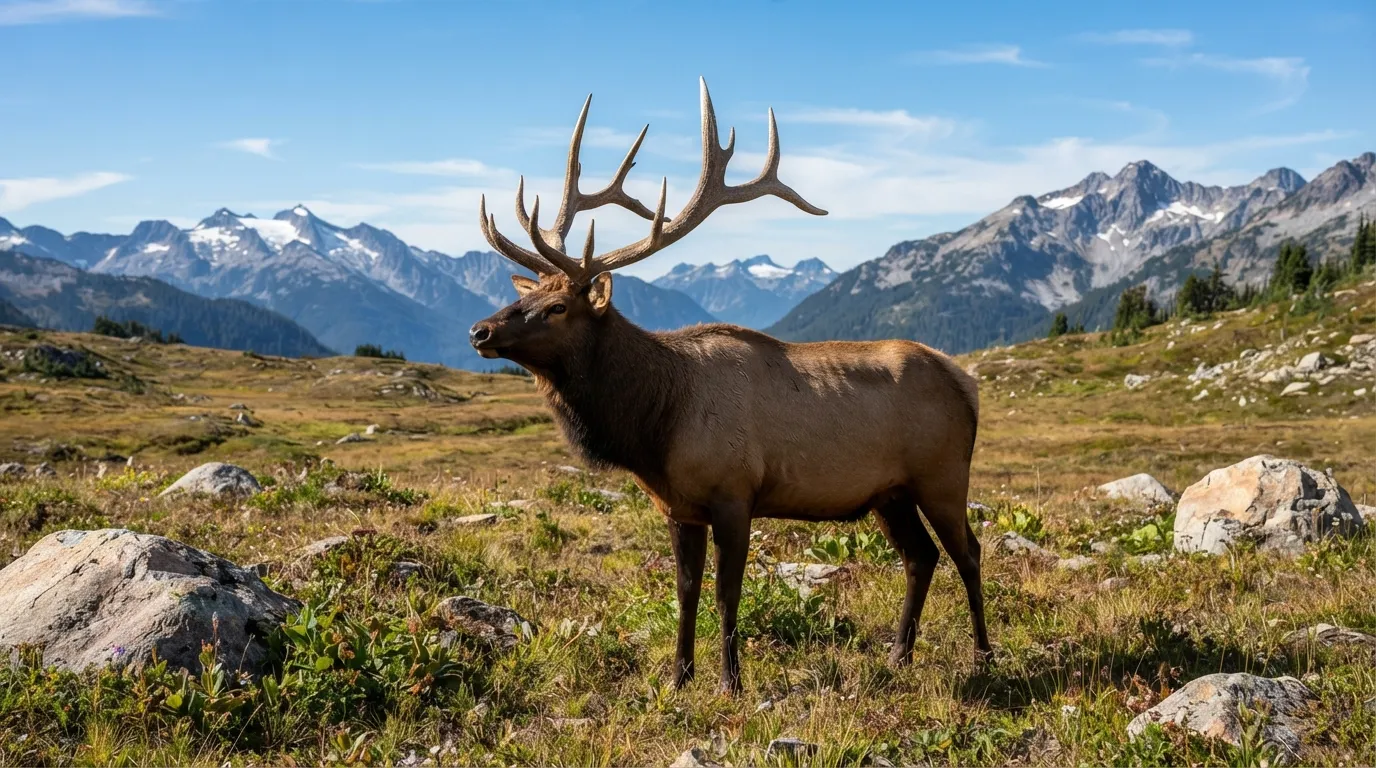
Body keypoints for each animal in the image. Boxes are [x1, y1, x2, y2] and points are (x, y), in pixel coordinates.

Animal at [468, 78, 989, 694]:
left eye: (557, 307)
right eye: (525, 297)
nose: (480, 330)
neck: (654, 426)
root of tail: (967, 384)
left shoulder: (735, 494)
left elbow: (726, 594)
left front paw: (730, 682)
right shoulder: (679, 507)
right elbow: (685, 593)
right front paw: (677, 678)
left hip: (942, 475)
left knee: (968, 552)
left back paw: (984, 657)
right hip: (890, 492)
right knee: (920, 557)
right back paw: (898, 655)